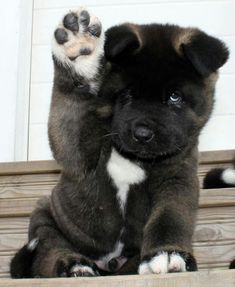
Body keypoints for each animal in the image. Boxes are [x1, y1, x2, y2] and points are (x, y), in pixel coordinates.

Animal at [10, 8, 228, 280]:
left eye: (175, 97)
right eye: (127, 94)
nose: (142, 134)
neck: (135, 159)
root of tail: (109, 267)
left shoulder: (177, 179)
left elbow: (169, 218)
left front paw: (167, 253)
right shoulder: (80, 155)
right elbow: (73, 112)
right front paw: (78, 49)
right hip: (44, 216)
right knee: (49, 251)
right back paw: (74, 265)